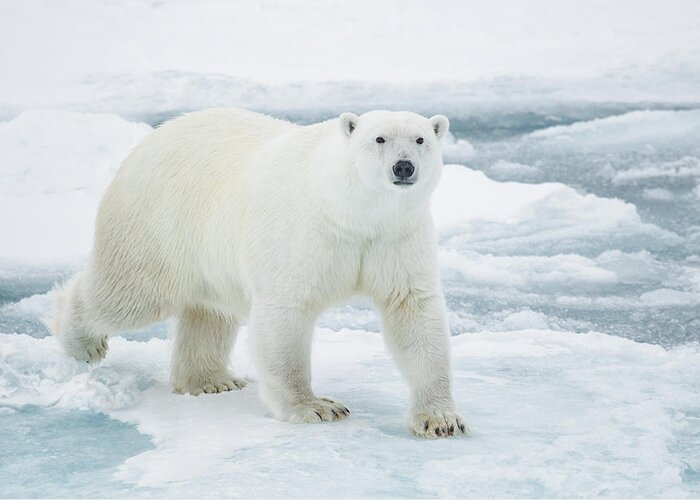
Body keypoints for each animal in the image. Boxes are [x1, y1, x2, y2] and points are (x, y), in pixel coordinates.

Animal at [52, 109, 468, 438]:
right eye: (378, 138)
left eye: (420, 139)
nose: (404, 167)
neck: (351, 211)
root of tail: (148, 140)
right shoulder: (304, 233)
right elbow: (285, 314)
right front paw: (317, 407)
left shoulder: (395, 237)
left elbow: (413, 311)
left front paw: (440, 420)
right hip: (158, 225)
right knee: (131, 293)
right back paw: (82, 343)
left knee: (208, 311)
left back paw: (212, 380)